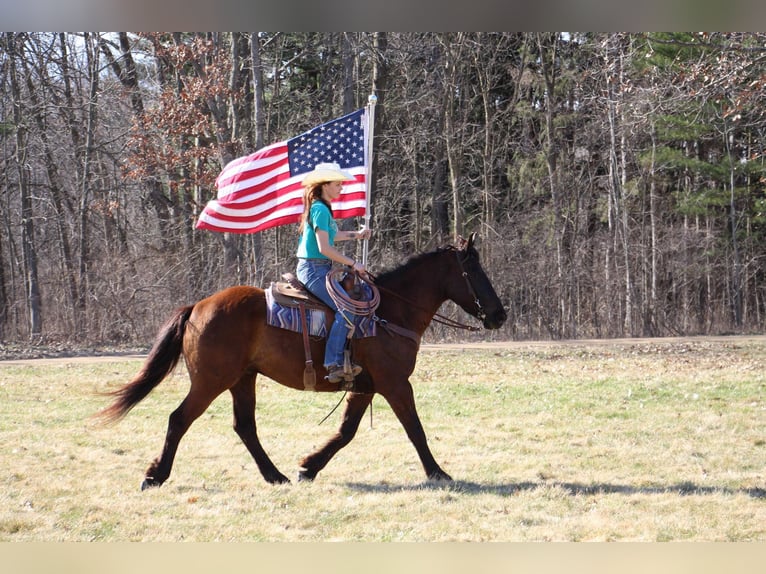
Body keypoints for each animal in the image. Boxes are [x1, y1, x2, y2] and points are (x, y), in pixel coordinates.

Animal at [99, 234, 510, 490]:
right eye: (474, 271)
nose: (499, 314)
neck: (390, 311)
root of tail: (197, 307)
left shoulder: (366, 387)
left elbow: (346, 432)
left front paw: (308, 466)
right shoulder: (395, 384)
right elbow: (415, 430)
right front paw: (438, 473)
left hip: (242, 379)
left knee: (244, 426)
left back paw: (275, 475)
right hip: (211, 381)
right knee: (179, 419)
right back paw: (155, 476)